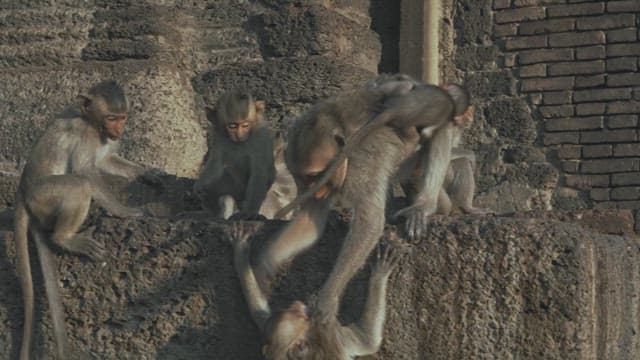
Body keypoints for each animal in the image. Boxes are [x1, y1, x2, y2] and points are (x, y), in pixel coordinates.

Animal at [14, 79, 161, 360]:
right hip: (44, 197)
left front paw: (146, 172)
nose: (119, 130)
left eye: (122, 118)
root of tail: (23, 193)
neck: (92, 121)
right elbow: (87, 172)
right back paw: (65, 238)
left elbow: (107, 160)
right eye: (111, 118)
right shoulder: (86, 136)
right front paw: (126, 211)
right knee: (78, 184)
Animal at [194, 91, 276, 221]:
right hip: (234, 187)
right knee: (212, 187)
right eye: (232, 126)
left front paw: (249, 213)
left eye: (245, 125)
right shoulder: (217, 135)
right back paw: (214, 213)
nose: (240, 135)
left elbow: (259, 173)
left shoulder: (260, 138)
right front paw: (199, 186)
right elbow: (215, 164)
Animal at [228, 224, 402, 358]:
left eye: (293, 310)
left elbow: (259, 312)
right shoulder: (330, 333)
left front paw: (240, 251)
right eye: (298, 315)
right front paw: (380, 273)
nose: (298, 304)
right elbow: (368, 339)